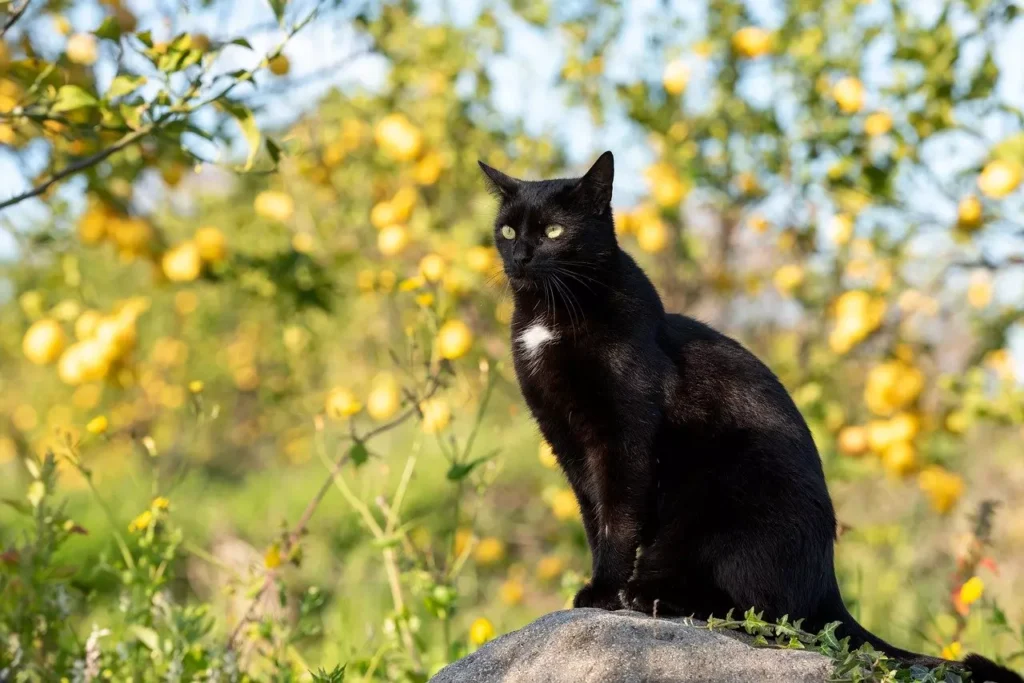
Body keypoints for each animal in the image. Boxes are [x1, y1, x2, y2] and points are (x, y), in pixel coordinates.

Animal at [481, 152, 1024, 679]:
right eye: (506, 231)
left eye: (554, 231)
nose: (521, 255)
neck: (549, 317)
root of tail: (829, 586)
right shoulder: (567, 442)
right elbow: (595, 518)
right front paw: (599, 588)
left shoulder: (623, 438)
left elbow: (618, 518)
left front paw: (605, 593)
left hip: (730, 495)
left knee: (763, 611)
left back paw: (653, 597)